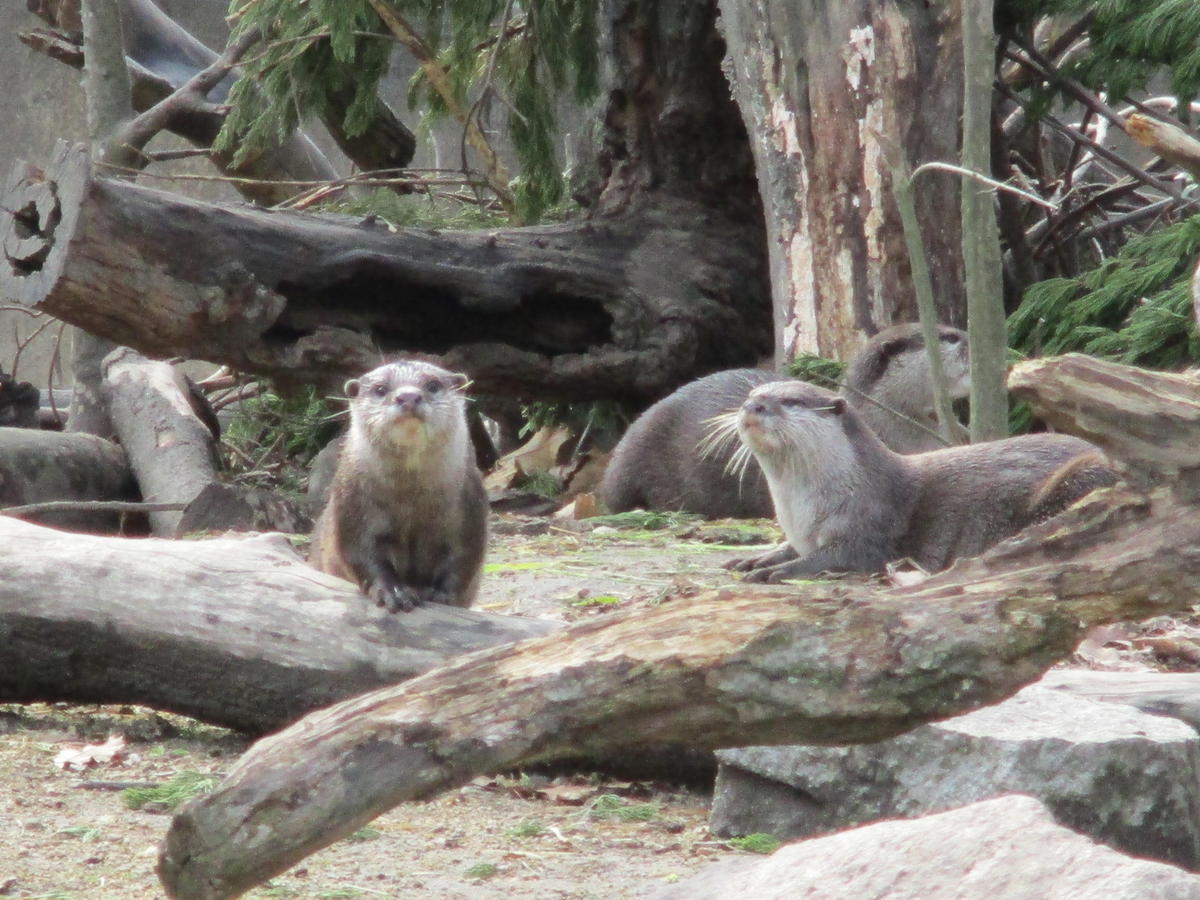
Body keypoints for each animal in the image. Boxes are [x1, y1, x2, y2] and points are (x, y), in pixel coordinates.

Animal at [314, 362, 492, 619]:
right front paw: (393, 593)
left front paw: (442, 595)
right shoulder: (352, 504)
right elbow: (362, 552)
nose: (408, 396)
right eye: (380, 388)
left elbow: (464, 556)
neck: (410, 500)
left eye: (433, 385)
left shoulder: (469, 506)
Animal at [724, 381, 1118, 585]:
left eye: (791, 401)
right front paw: (755, 558)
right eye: (751, 395)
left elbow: (837, 557)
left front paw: (776, 570)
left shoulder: (870, 528)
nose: (752, 406)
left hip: (1083, 476)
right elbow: (792, 548)